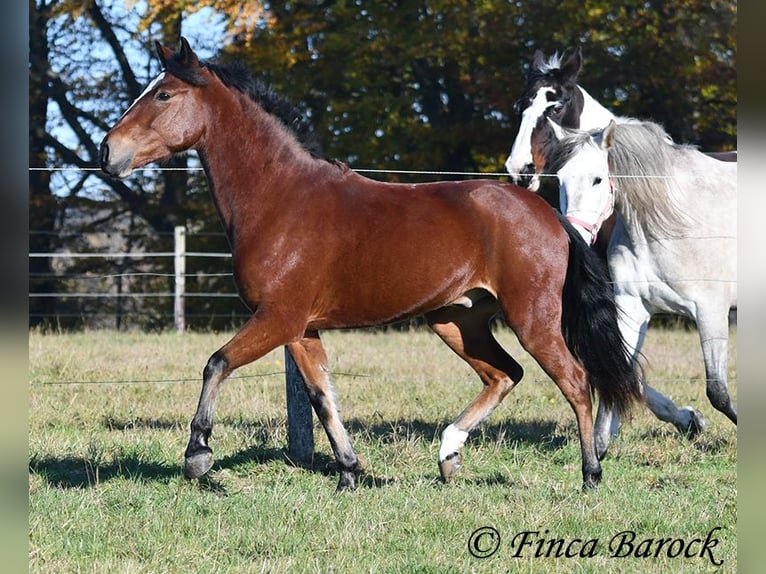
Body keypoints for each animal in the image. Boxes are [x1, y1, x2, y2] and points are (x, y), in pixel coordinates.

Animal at [99, 38, 644, 492]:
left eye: (163, 95)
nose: (108, 152)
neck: (280, 199)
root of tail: (548, 214)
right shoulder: (301, 329)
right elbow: (322, 397)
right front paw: (348, 472)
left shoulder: (277, 318)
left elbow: (217, 363)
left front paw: (198, 455)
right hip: (456, 320)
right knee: (504, 374)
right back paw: (448, 456)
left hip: (533, 319)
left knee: (575, 380)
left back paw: (590, 474)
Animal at [536, 119, 736, 462]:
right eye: (560, 180)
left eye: (597, 179)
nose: (576, 235)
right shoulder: (632, 308)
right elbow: (619, 370)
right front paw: (599, 446)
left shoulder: (710, 310)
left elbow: (718, 391)